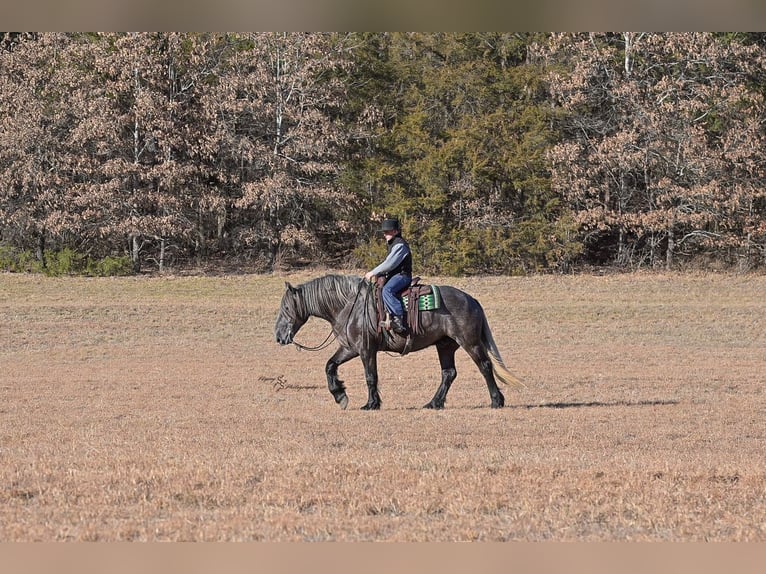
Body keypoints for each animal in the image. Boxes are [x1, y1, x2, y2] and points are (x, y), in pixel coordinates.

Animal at [274, 274, 523, 410]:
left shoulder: (366, 350)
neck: (349, 305)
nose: (278, 336)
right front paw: (340, 395)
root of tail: (472, 300)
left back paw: (496, 400)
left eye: (286, 307)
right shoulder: (350, 348)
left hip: (470, 342)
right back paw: (433, 403)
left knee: (485, 366)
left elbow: (370, 376)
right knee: (449, 373)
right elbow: (329, 366)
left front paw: (371, 404)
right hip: (445, 346)